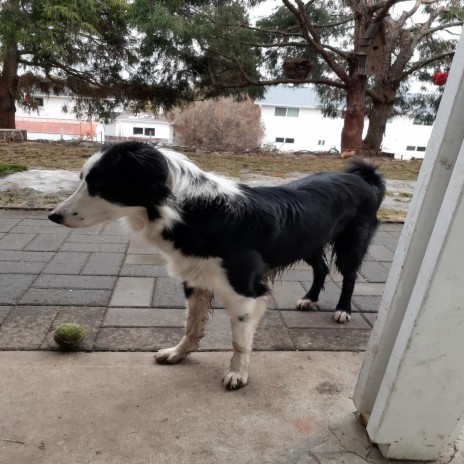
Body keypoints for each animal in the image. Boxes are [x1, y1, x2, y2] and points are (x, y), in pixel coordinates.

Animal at [49, 141, 384, 388]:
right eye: (84, 180)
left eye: (99, 184)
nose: (53, 216)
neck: (192, 211)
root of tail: (362, 175)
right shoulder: (195, 279)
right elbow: (191, 325)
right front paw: (179, 354)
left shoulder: (245, 291)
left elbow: (239, 340)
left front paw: (238, 374)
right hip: (309, 242)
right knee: (321, 268)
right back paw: (310, 298)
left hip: (351, 244)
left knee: (349, 276)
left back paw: (343, 309)